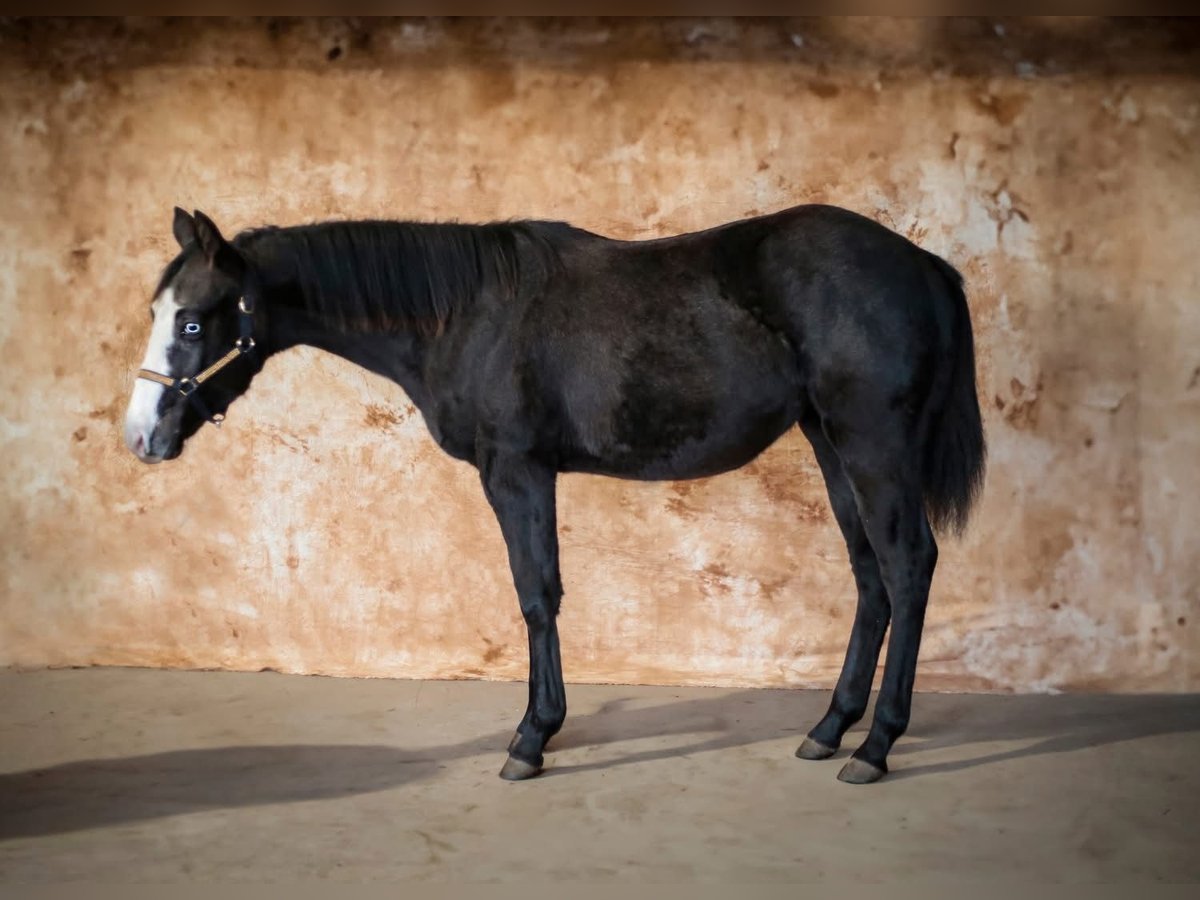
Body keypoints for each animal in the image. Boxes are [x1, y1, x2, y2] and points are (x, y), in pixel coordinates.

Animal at [123, 204, 985, 784]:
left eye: (194, 323)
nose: (140, 437)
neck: (463, 315)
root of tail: (923, 264)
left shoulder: (517, 470)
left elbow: (536, 595)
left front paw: (532, 738)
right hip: (832, 446)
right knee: (871, 575)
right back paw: (830, 727)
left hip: (872, 446)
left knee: (908, 566)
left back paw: (876, 746)